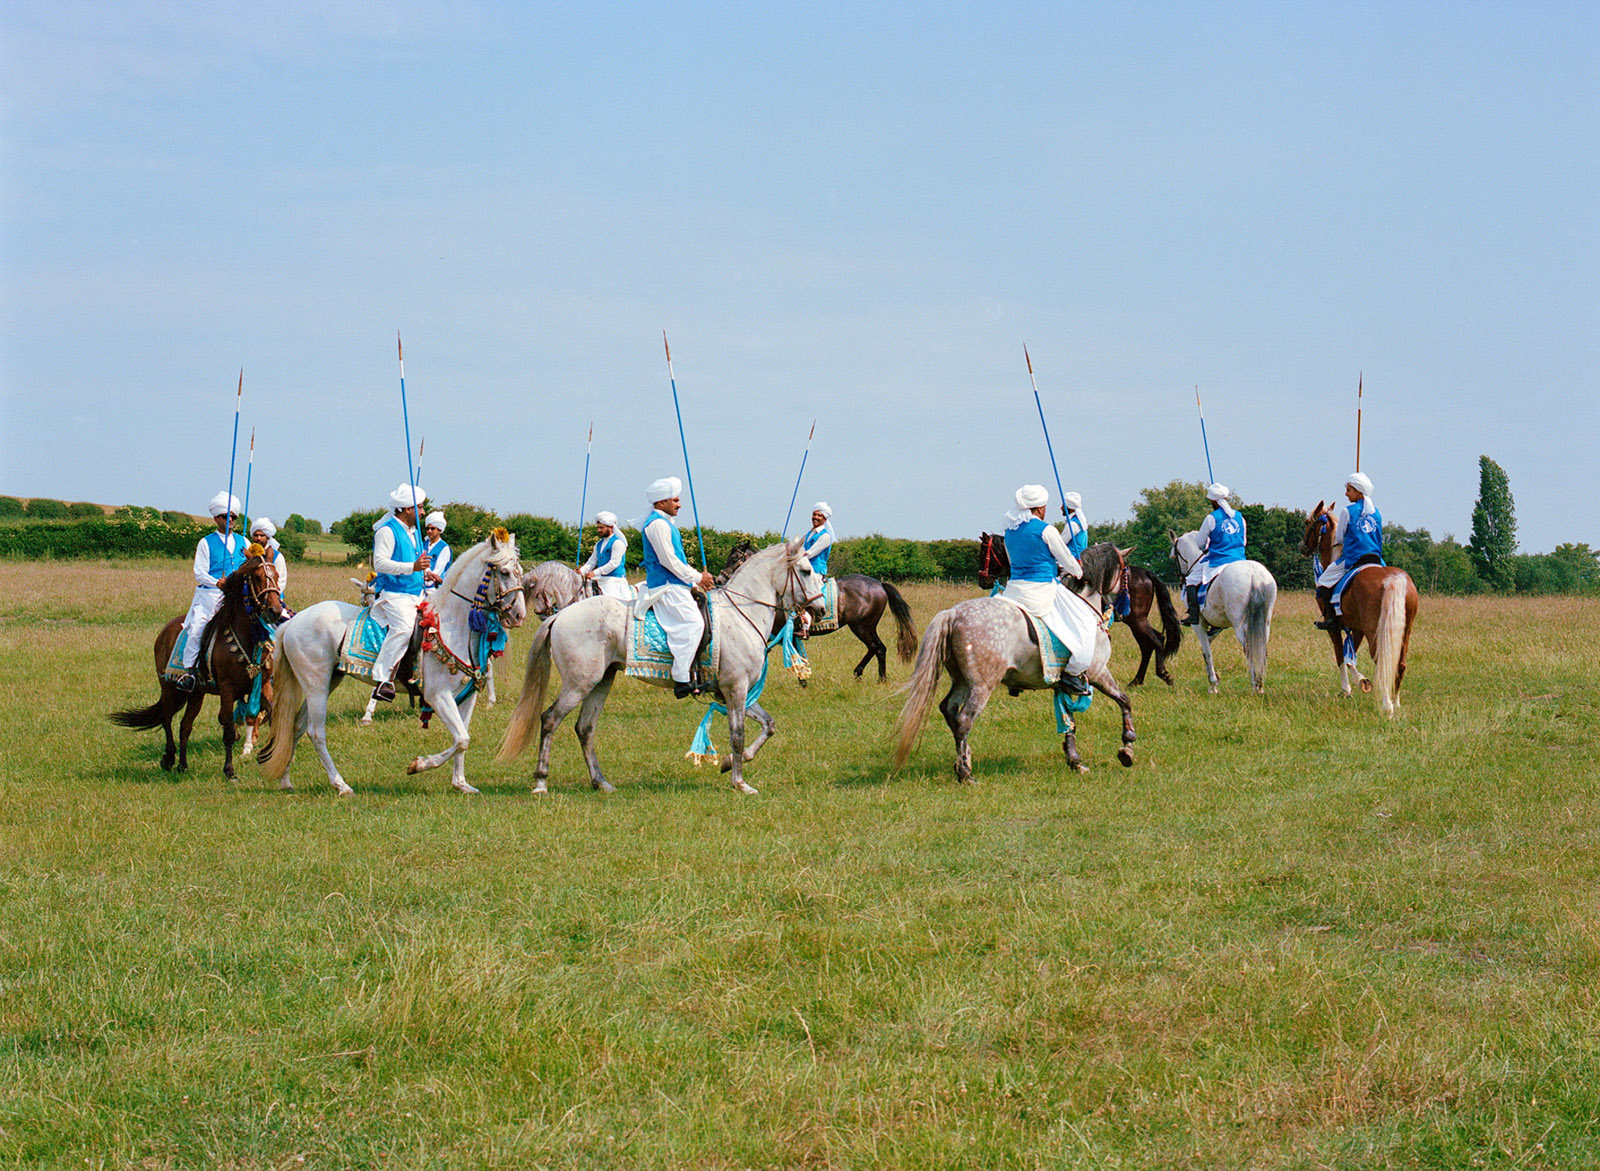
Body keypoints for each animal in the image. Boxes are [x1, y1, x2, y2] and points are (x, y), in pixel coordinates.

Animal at [108, 553, 291, 780]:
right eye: (257, 577)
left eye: (276, 575)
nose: (275, 611)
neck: (246, 637)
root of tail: (165, 631)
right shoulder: (227, 690)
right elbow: (229, 730)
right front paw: (229, 770)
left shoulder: (263, 684)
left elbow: (273, 717)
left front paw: (272, 757)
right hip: (168, 688)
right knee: (167, 719)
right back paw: (169, 758)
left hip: (196, 693)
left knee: (185, 725)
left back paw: (182, 765)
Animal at [257, 534, 524, 796]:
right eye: (504, 572)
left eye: (520, 571)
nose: (519, 615)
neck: (450, 625)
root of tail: (292, 623)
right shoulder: (438, 695)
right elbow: (461, 739)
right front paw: (418, 765)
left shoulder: (466, 697)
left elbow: (463, 739)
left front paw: (460, 783)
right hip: (316, 687)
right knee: (315, 732)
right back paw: (341, 785)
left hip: (328, 681)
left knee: (297, 725)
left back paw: (286, 780)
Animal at [499, 540, 825, 796]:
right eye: (806, 571)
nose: (820, 609)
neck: (741, 614)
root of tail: (562, 615)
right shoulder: (736, 688)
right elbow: (737, 734)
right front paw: (740, 782)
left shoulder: (734, 692)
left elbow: (768, 725)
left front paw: (731, 763)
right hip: (579, 684)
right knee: (550, 719)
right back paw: (541, 782)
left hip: (601, 681)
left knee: (585, 727)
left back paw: (600, 782)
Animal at [1164, 531, 1273, 694]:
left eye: (1173, 556)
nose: (1182, 580)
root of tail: (1254, 574)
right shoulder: (1219, 625)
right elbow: (1209, 643)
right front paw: (1216, 678)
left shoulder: (1199, 624)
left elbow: (1206, 652)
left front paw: (1213, 684)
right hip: (1264, 624)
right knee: (1261, 650)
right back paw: (1260, 685)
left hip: (1241, 626)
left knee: (1250, 650)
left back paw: (1256, 686)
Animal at [1305, 502, 1420, 716]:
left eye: (1308, 522)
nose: (1303, 546)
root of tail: (1395, 579)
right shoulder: (1357, 628)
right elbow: (1350, 657)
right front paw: (1361, 682)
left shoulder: (1335, 628)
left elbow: (1341, 656)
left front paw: (1348, 689)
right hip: (1404, 630)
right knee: (1399, 664)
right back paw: (1396, 702)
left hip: (1375, 631)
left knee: (1383, 661)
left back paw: (1387, 706)